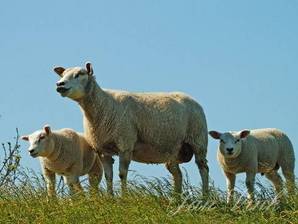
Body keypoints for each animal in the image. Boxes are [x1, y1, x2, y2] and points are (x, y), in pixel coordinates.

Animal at [53, 61, 210, 196]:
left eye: (80, 74)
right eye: (62, 75)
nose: (59, 84)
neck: (104, 105)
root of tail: (191, 99)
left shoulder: (125, 144)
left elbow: (122, 174)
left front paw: (124, 197)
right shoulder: (102, 150)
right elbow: (108, 176)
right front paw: (110, 198)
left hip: (198, 140)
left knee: (203, 168)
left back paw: (205, 197)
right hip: (173, 150)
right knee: (177, 174)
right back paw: (176, 199)